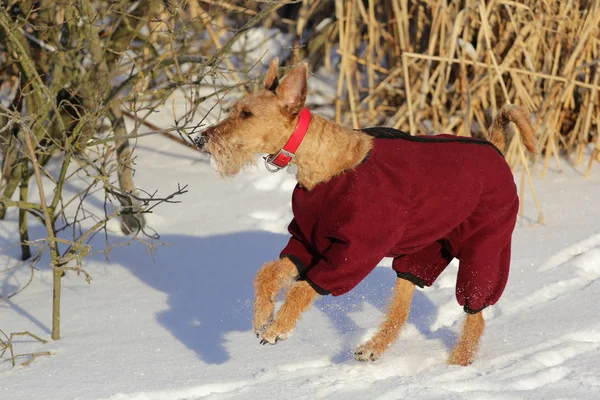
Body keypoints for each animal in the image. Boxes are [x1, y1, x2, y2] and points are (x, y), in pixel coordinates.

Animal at [195, 57, 536, 368]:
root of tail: (495, 148)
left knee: (475, 313)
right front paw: (262, 315)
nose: (200, 138)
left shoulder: (351, 254)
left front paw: (277, 328)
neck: (326, 166)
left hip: (485, 248)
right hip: (423, 251)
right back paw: (373, 349)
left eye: (246, 114)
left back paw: (457, 364)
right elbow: (267, 273)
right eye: (235, 109)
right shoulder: (308, 242)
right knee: (401, 307)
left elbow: (304, 288)